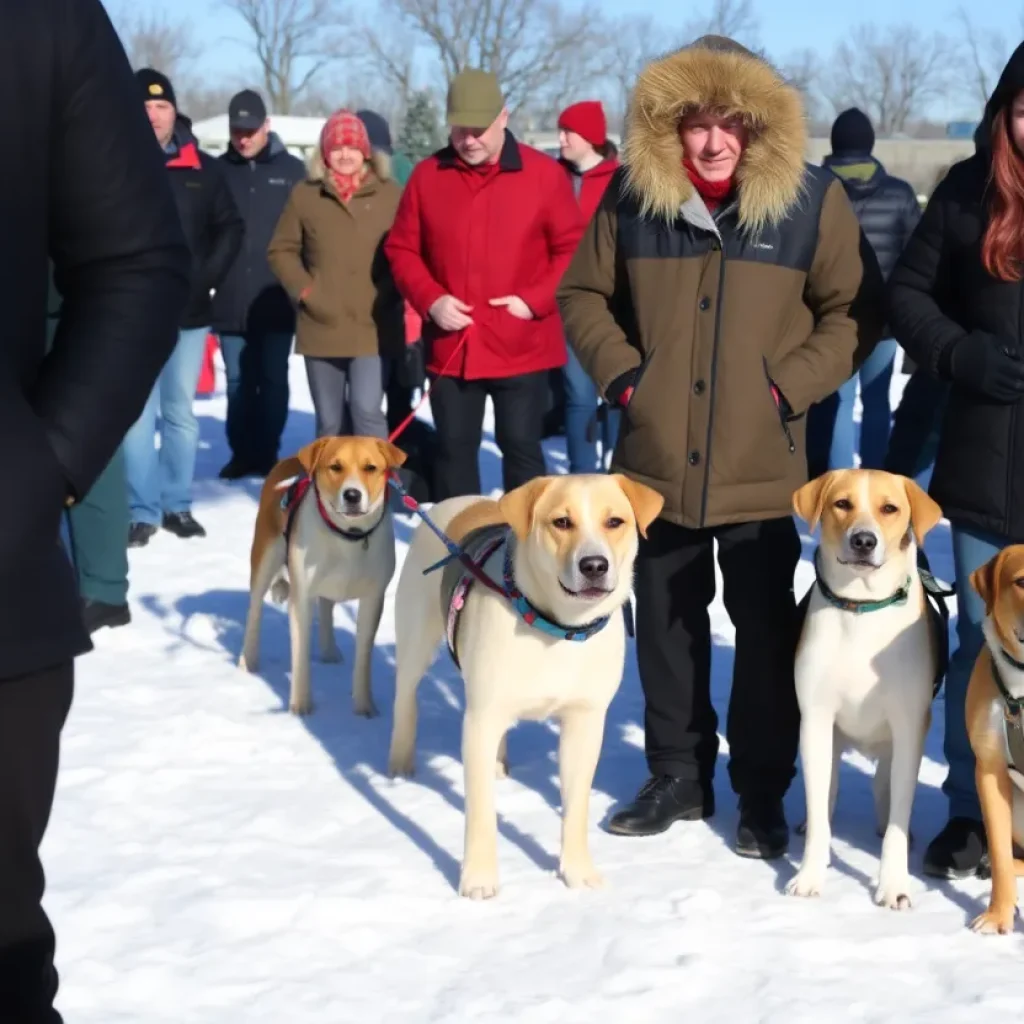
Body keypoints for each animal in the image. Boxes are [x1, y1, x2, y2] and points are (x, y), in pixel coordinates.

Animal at [237, 436, 405, 716]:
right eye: (335, 466)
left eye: (370, 467)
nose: (352, 495)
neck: (347, 536)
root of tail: (290, 460)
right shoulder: (301, 596)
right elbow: (301, 654)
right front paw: (300, 705)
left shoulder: (373, 599)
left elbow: (364, 656)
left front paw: (364, 707)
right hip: (264, 556)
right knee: (254, 610)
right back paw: (248, 661)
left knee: (327, 607)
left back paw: (328, 651)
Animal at [385, 471, 663, 897]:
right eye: (561, 522)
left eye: (615, 521)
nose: (594, 565)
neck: (557, 627)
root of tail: (459, 500)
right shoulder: (480, 720)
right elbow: (481, 812)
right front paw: (478, 880)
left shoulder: (585, 722)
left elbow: (576, 806)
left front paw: (578, 874)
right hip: (416, 642)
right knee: (405, 699)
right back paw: (400, 767)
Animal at [782, 468, 942, 909]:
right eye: (842, 503)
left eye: (890, 508)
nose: (864, 541)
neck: (861, 610)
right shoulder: (815, 720)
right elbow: (820, 806)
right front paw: (809, 876)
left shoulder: (909, 727)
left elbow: (898, 819)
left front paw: (894, 886)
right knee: (829, 791)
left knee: (884, 789)